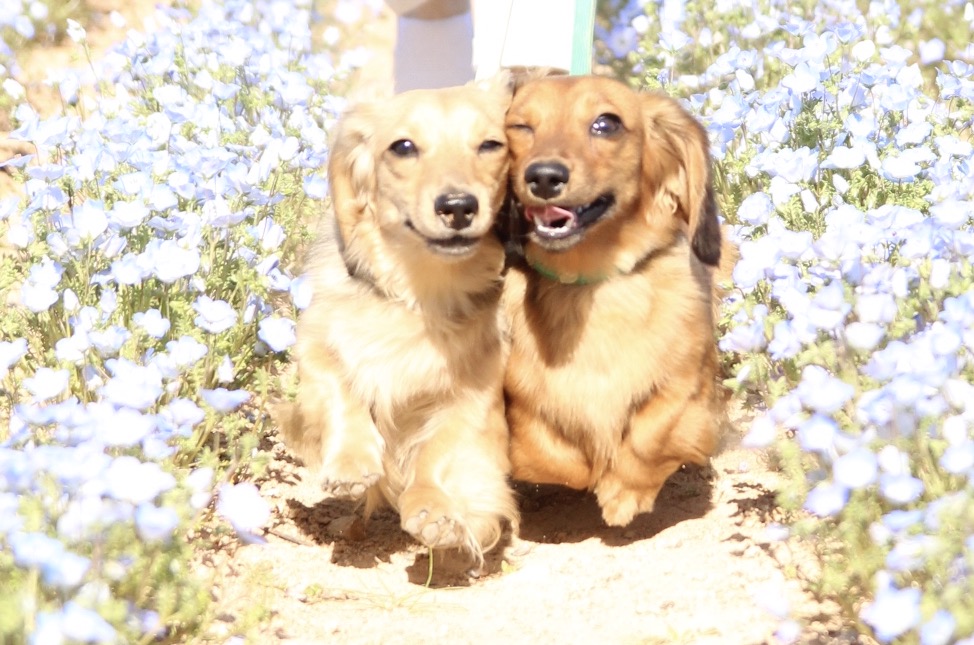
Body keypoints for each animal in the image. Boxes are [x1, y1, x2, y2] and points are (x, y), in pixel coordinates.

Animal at [280, 78, 520, 564]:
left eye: (491, 145)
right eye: (403, 146)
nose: (458, 206)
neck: (420, 296)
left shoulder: (475, 393)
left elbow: (439, 450)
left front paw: (437, 509)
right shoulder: (314, 340)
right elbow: (339, 387)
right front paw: (352, 461)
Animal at [504, 76, 732, 528]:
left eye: (606, 124)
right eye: (520, 126)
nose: (543, 176)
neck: (591, 287)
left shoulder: (690, 390)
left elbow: (653, 433)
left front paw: (625, 491)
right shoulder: (519, 392)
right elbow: (550, 452)